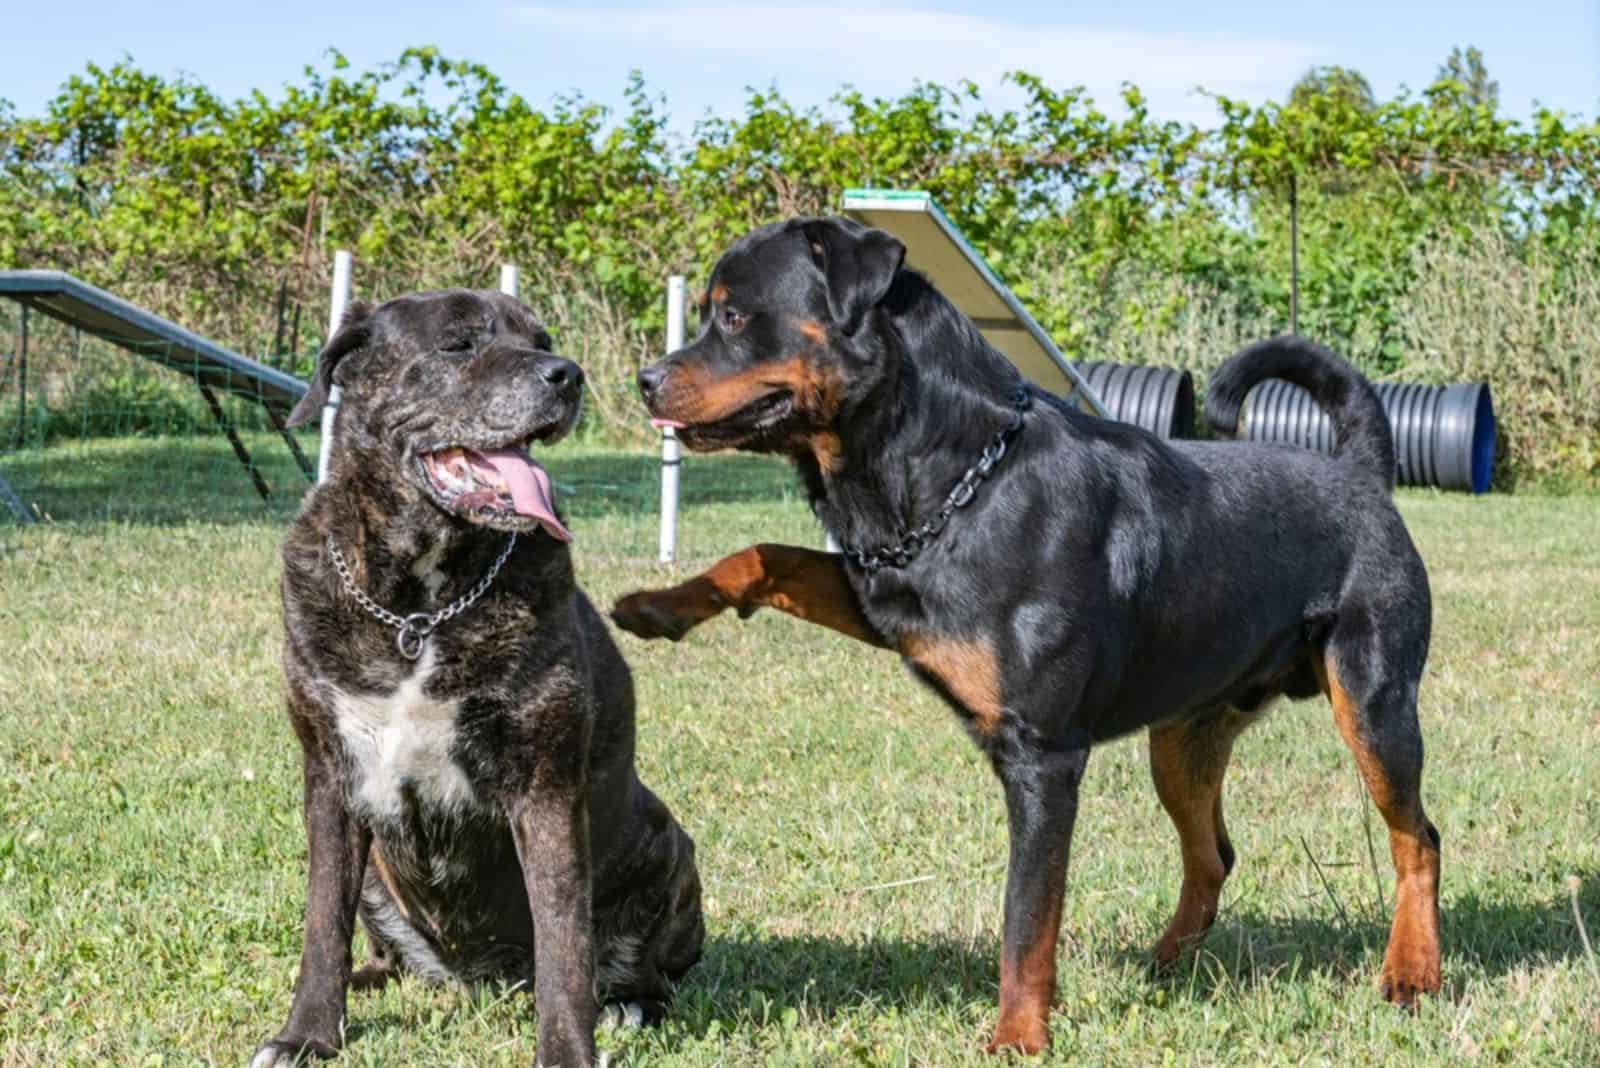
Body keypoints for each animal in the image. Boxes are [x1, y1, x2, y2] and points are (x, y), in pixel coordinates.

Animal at [249, 289, 700, 1068]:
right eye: (459, 345)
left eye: (541, 340)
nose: (566, 374)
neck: (419, 605)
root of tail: (477, 978)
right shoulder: (331, 778)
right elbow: (322, 920)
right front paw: (306, 1034)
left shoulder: (545, 788)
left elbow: (564, 942)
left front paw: (566, 1050)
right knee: (378, 949)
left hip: (669, 842)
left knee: (646, 972)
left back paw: (626, 1006)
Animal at [608, 217, 1440, 1048]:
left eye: (735, 316)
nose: (645, 379)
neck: (958, 474)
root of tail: (1362, 472)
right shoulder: (887, 594)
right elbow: (766, 554)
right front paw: (660, 604)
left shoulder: (1042, 757)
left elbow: (1026, 916)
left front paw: (1017, 1034)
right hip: (1183, 737)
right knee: (1214, 855)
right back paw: (1166, 962)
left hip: (1373, 705)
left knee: (1416, 838)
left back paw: (1411, 972)